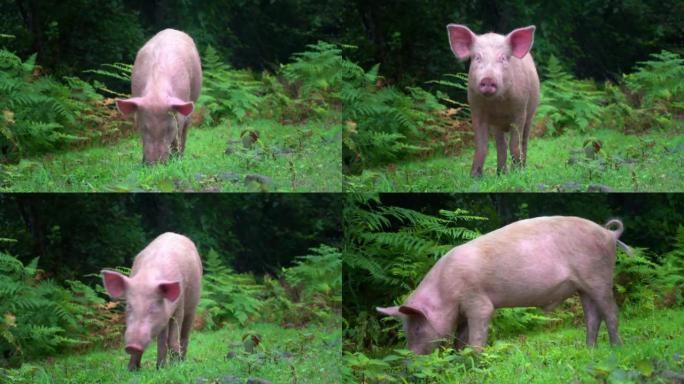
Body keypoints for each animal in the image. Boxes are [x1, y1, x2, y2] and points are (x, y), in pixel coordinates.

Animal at [101, 232, 203, 370]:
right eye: (129, 307)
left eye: (153, 307)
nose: (132, 346)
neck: (148, 277)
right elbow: (161, 341)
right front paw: (133, 370)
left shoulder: (179, 305)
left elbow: (173, 338)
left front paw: (176, 366)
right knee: (162, 339)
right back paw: (160, 366)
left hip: (192, 306)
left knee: (184, 335)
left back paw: (182, 361)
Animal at [117, 28, 203, 164]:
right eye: (144, 128)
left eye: (168, 129)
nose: (155, 164)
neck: (156, 92)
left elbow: (178, 134)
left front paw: (176, 160)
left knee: (185, 129)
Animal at [380, 216, 632, 354]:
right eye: (405, 329)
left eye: (417, 328)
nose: (409, 364)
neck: (445, 293)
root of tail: (609, 234)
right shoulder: (461, 313)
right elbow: (459, 340)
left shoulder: (478, 302)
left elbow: (476, 338)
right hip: (583, 286)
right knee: (592, 316)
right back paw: (589, 350)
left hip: (598, 276)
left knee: (611, 312)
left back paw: (616, 348)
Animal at [446, 24, 544, 178]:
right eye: (477, 57)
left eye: (503, 58)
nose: (488, 79)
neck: (497, 104)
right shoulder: (476, 110)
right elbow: (482, 145)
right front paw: (474, 177)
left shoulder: (520, 111)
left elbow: (514, 144)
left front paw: (517, 173)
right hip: (497, 125)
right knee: (500, 144)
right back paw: (500, 173)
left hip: (531, 113)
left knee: (524, 140)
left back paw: (522, 167)